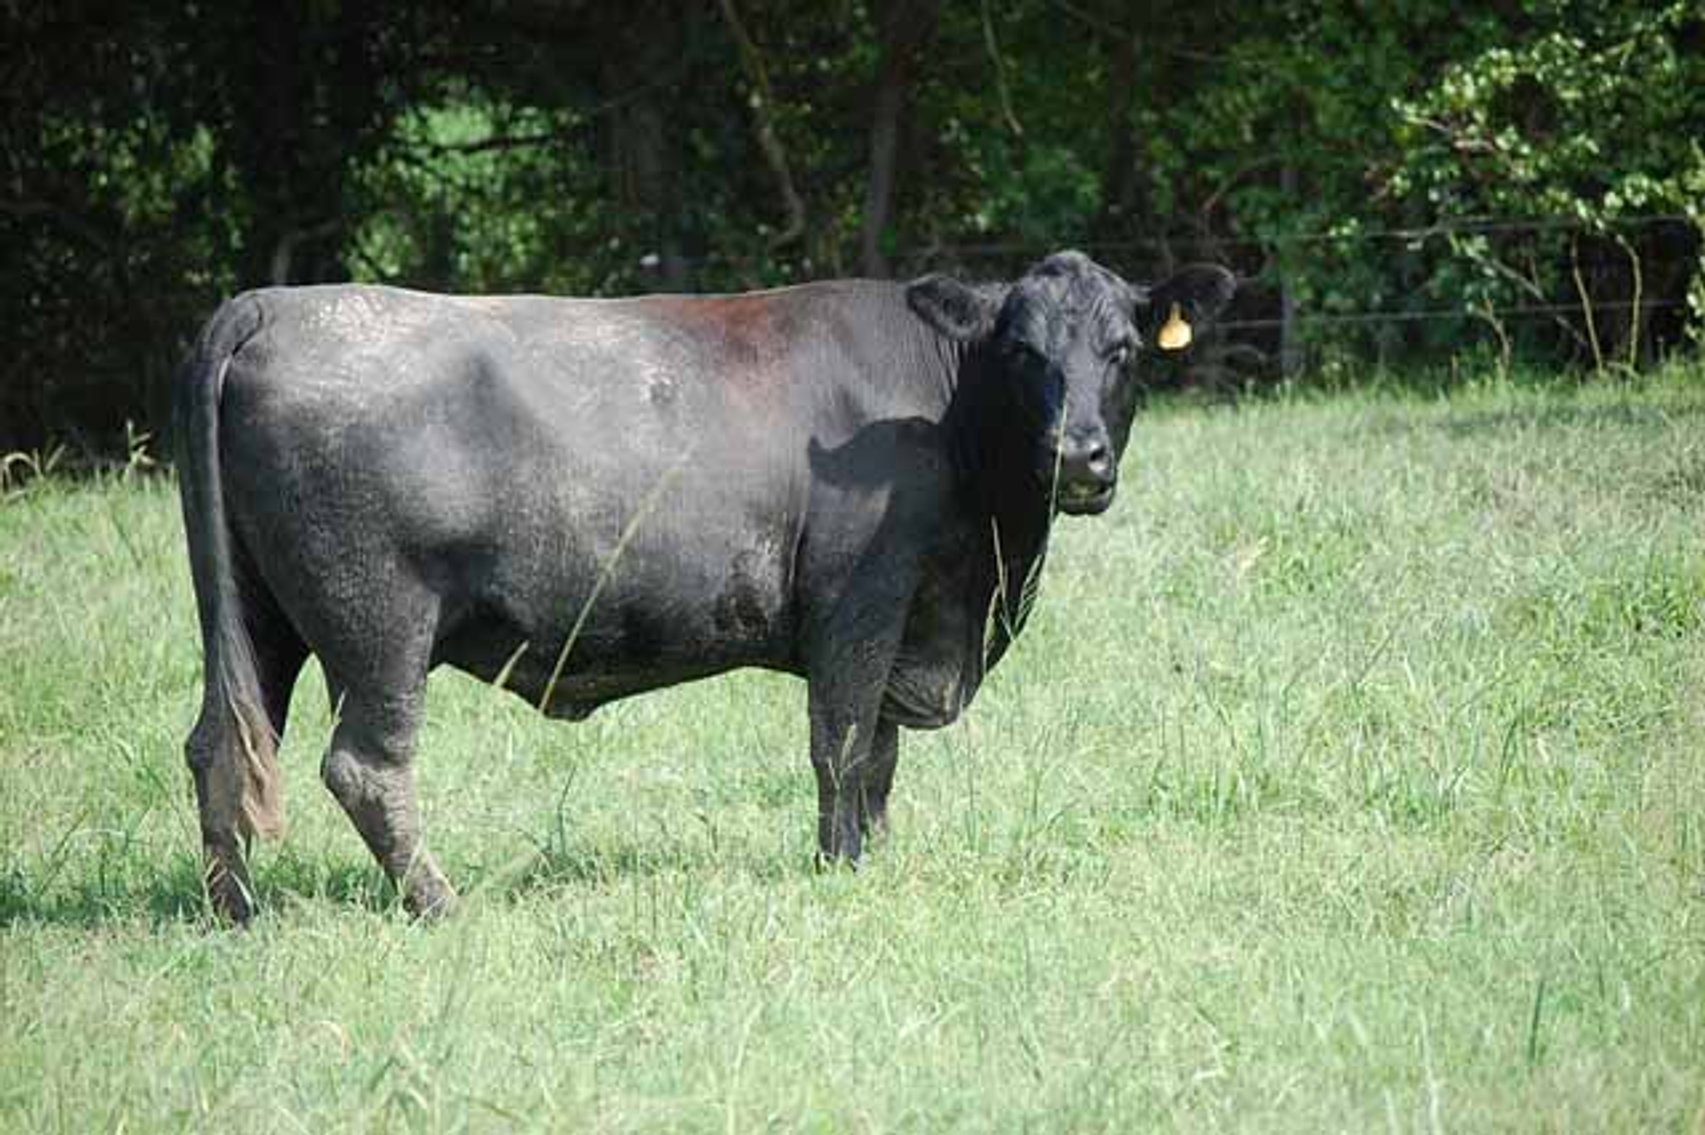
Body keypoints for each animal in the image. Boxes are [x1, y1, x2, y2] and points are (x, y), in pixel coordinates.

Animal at [176, 250, 1235, 922]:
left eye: (1123, 350)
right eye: (1022, 351)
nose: (1076, 456)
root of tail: (272, 302)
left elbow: (881, 760)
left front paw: (878, 859)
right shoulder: (861, 598)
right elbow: (843, 744)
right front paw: (840, 871)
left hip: (262, 618)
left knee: (221, 744)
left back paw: (237, 913)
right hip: (379, 623)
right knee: (365, 765)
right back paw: (441, 903)